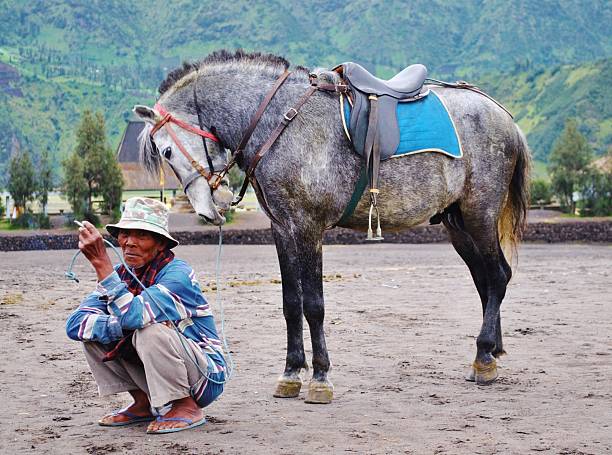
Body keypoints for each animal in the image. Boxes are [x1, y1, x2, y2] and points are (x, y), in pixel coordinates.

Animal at [135, 50, 532, 404]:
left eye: (166, 151)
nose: (208, 209)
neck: (280, 122)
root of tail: (504, 117)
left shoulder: (308, 227)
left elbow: (313, 305)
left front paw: (320, 377)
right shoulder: (283, 229)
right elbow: (291, 304)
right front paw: (291, 373)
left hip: (479, 215)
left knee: (497, 276)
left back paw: (483, 355)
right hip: (458, 223)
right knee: (486, 280)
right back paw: (491, 352)